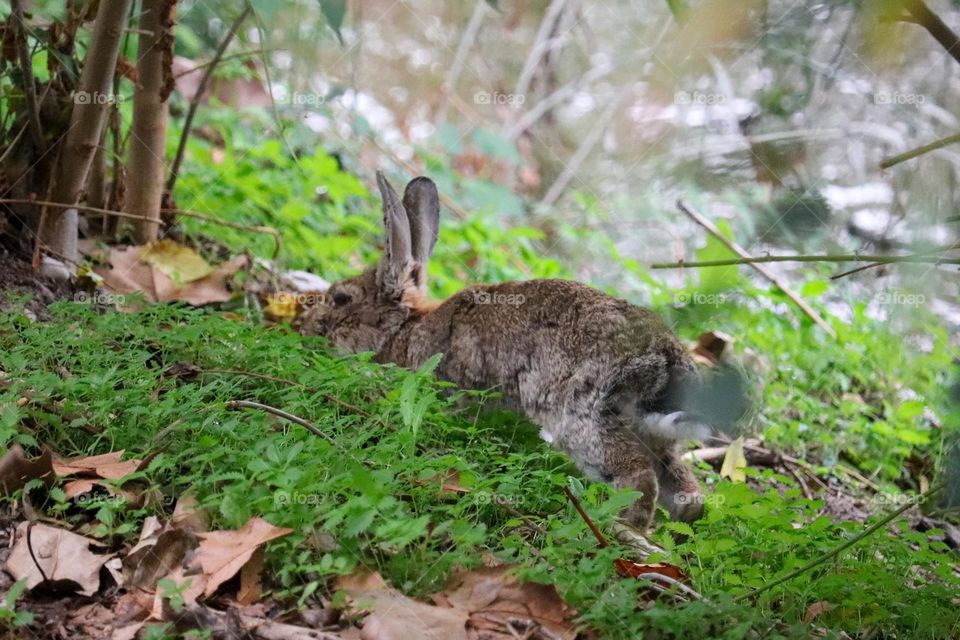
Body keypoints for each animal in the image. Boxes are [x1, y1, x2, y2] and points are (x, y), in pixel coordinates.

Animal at [304, 172, 748, 528]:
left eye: (341, 299)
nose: (309, 325)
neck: (406, 327)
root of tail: (666, 363)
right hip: (654, 437)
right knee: (686, 493)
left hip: (585, 417)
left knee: (637, 475)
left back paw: (624, 528)